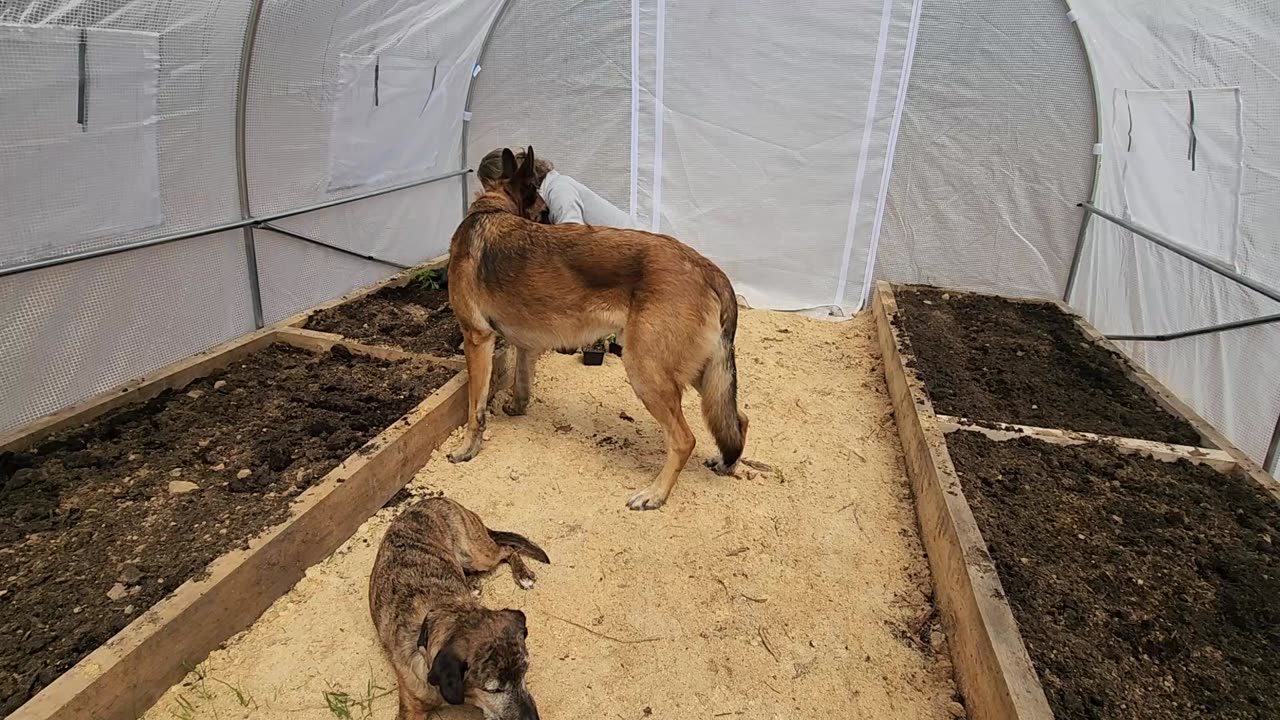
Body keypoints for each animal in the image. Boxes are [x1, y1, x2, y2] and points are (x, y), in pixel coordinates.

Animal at [371, 497, 550, 717]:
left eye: (525, 671)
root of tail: (438, 499)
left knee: (507, 549)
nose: (533, 717)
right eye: (493, 689)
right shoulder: (411, 707)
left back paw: (523, 574)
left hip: (476, 555)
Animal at [450, 142, 747, 507]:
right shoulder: (525, 344)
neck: (492, 209)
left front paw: (468, 448)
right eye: (543, 211)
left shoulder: (476, 339)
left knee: (684, 439)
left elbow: (474, 408)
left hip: (646, 371)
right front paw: (517, 407)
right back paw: (726, 463)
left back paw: (656, 493)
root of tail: (707, 267)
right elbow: (522, 381)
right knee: (737, 418)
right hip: (700, 373)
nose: (552, 222)